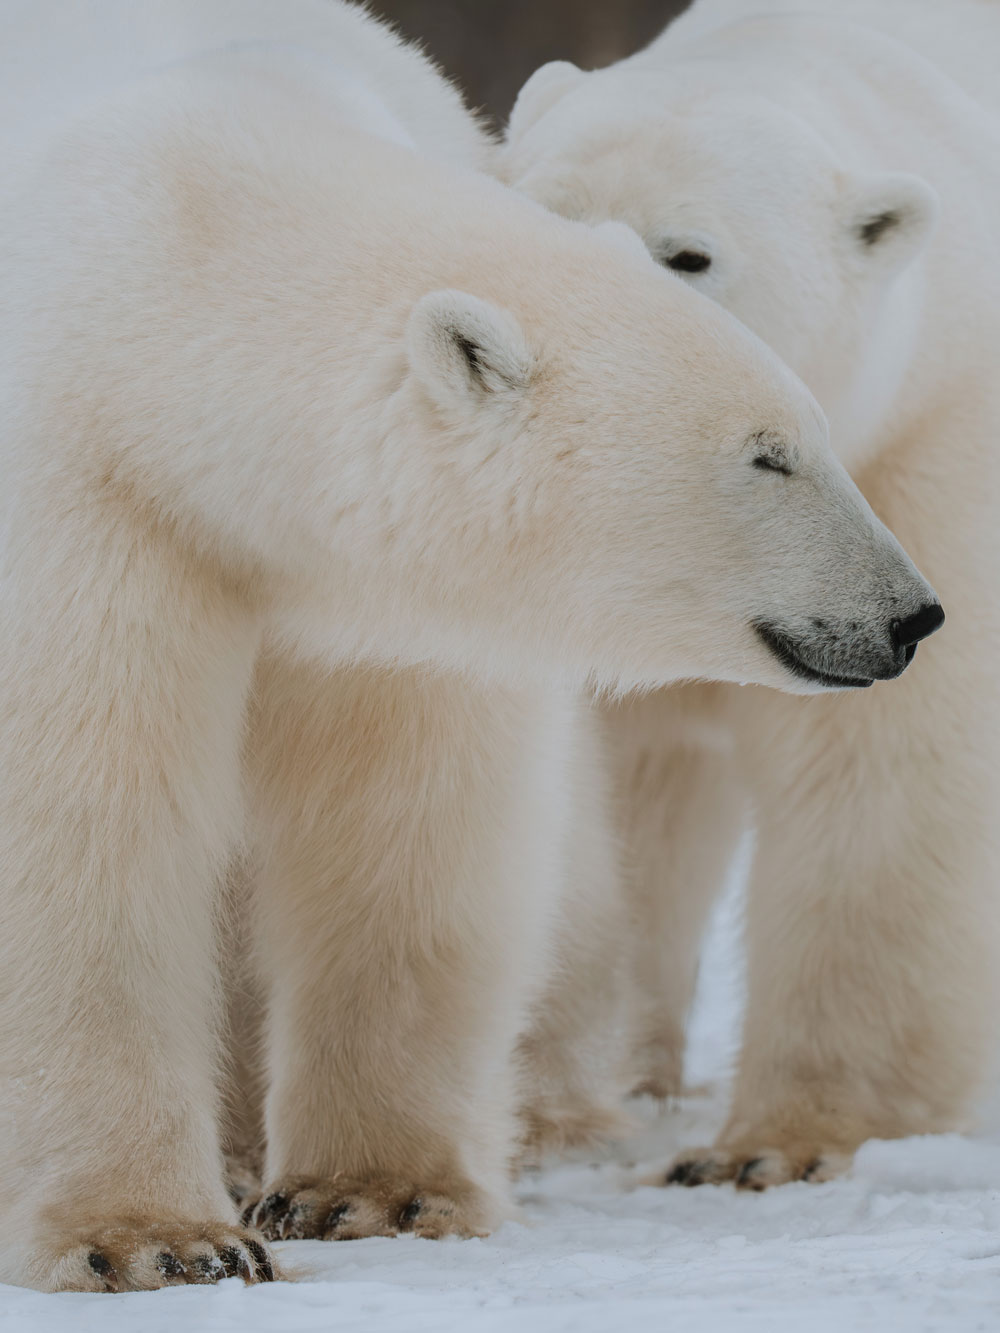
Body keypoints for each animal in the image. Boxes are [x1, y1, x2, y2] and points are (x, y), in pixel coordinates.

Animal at [0, 0, 939, 1292]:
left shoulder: (391, 598)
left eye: (810, 431)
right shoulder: (92, 493)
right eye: (768, 455)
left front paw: (373, 1192)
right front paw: (154, 1240)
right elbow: (83, 822)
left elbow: (410, 823)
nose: (908, 613)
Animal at [502, 0, 997, 1188]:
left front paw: (781, 1140)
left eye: (691, 254)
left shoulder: (916, 454)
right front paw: (542, 1111)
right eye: (543, 224)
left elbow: (885, 771)